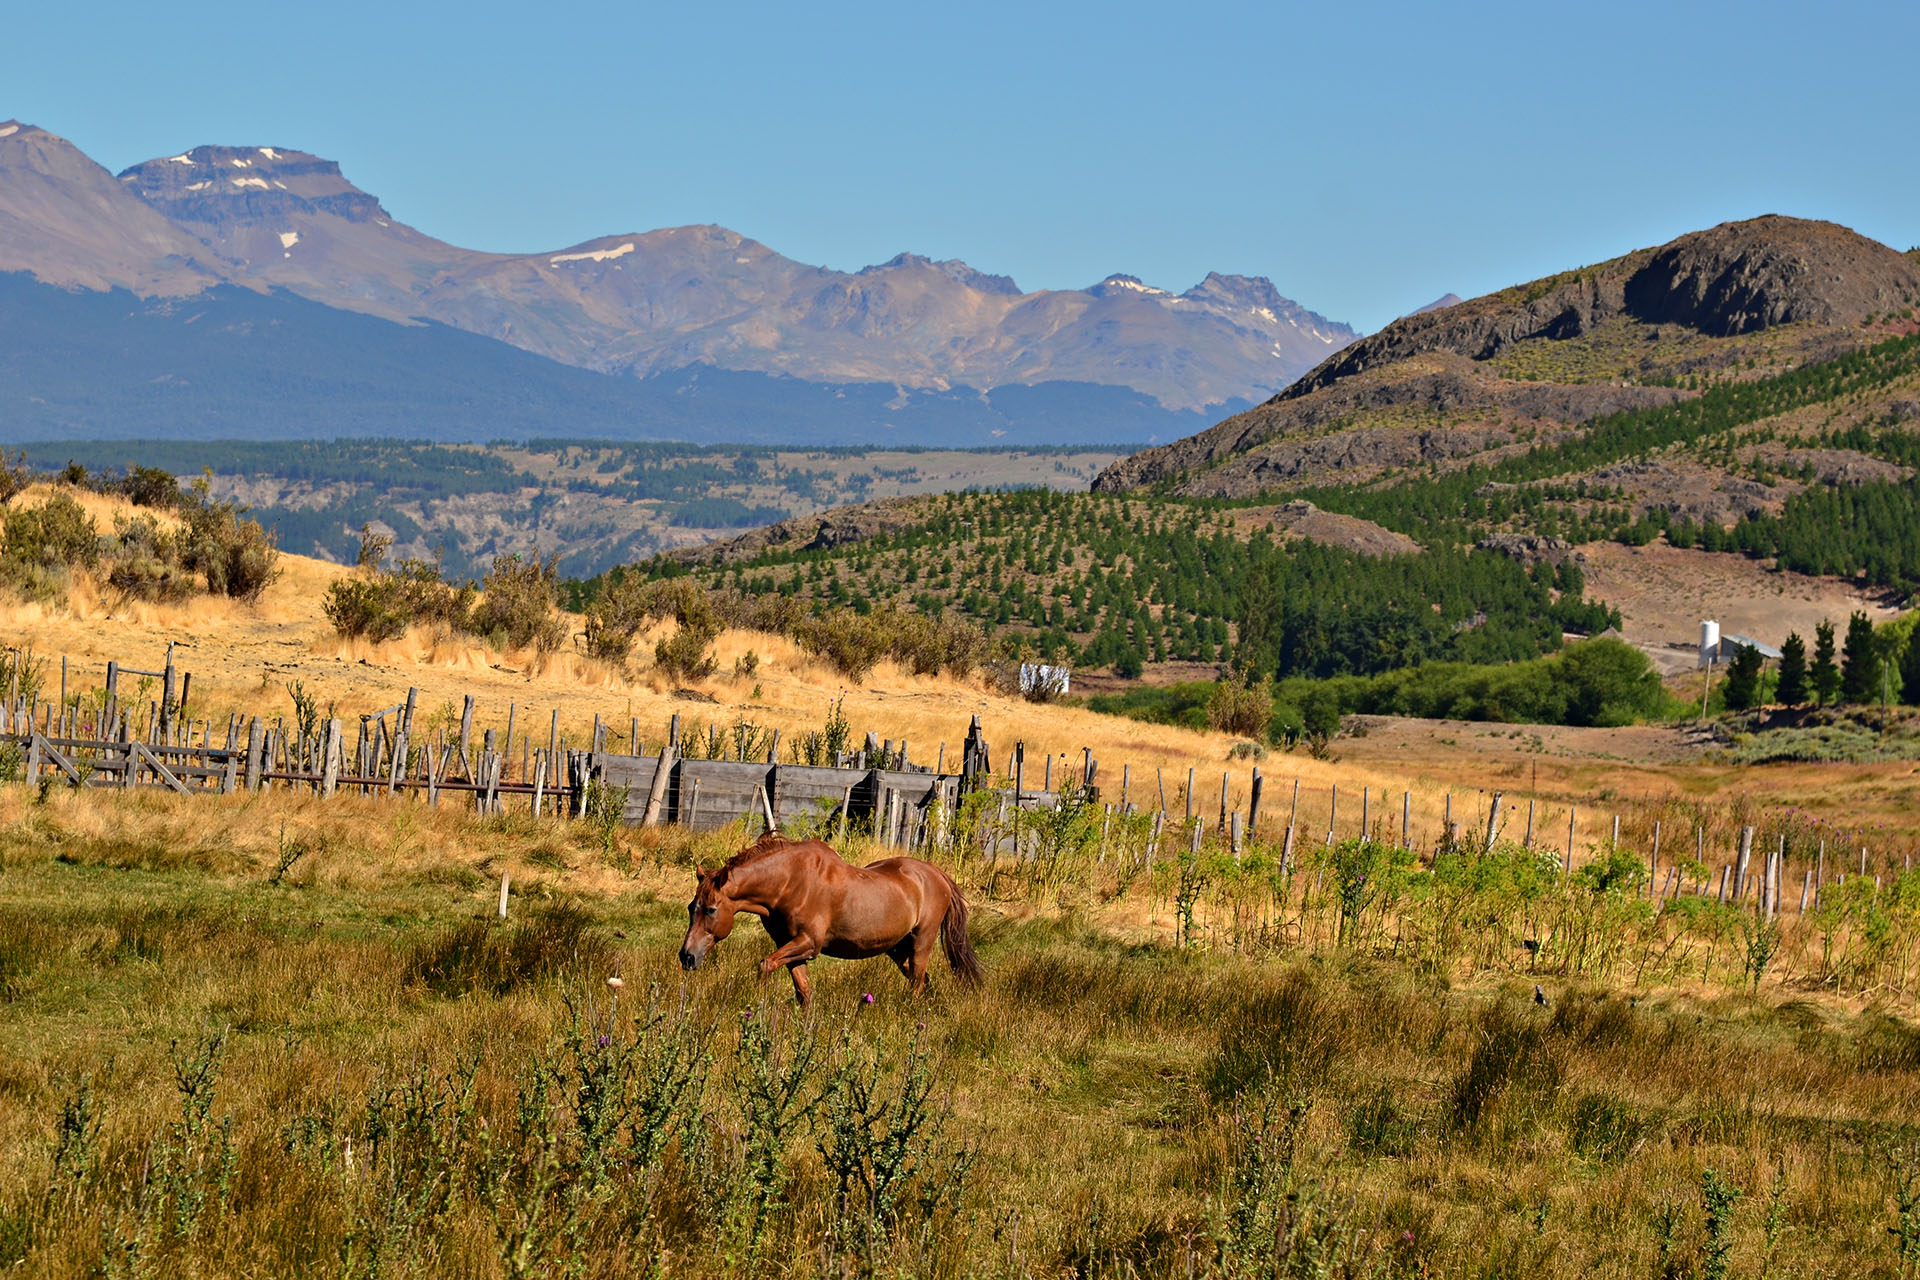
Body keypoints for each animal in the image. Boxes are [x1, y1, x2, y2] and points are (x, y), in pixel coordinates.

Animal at [678, 832, 983, 1006]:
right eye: (692, 906)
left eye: (711, 909)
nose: (687, 957)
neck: (789, 882)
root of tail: (936, 874)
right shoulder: (792, 947)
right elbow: (803, 990)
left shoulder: (809, 943)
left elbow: (765, 965)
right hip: (898, 950)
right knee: (921, 980)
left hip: (921, 942)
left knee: (918, 981)